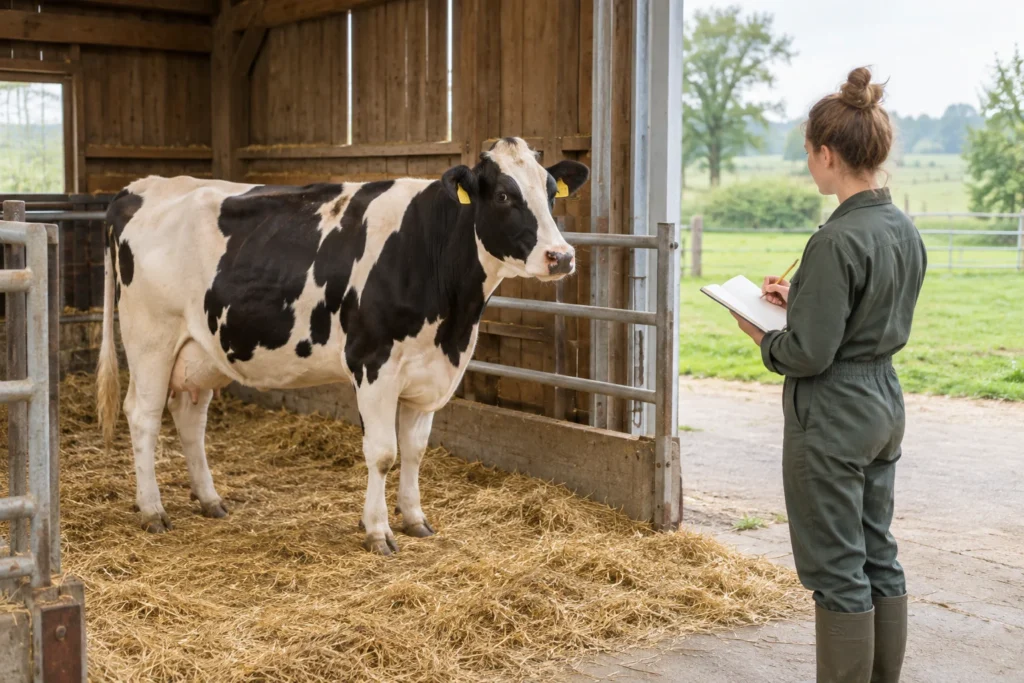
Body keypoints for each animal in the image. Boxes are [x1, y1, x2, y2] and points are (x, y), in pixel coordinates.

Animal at [96, 137, 589, 555]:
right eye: (504, 195)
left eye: (551, 192)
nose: (562, 256)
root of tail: (142, 187)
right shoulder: (373, 364)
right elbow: (383, 452)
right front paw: (378, 531)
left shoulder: (429, 373)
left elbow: (415, 450)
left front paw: (415, 519)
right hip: (150, 339)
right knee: (143, 416)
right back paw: (152, 510)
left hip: (199, 350)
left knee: (189, 418)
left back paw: (210, 499)